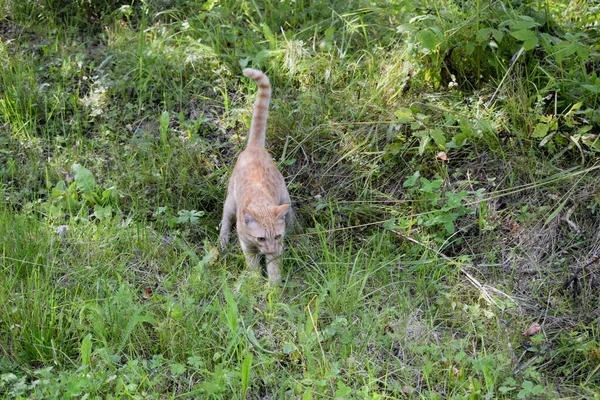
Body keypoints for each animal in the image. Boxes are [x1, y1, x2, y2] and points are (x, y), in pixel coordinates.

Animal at [221, 68, 294, 282]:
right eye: (261, 238)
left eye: (276, 236)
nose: (269, 249)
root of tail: (254, 147)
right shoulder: (247, 246)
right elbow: (253, 266)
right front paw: (254, 282)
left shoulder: (278, 248)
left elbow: (274, 268)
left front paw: (273, 286)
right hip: (231, 202)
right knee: (224, 220)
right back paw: (223, 240)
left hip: (285, 196)